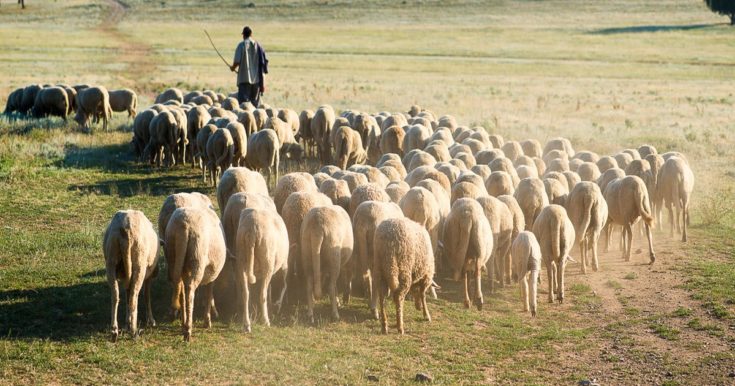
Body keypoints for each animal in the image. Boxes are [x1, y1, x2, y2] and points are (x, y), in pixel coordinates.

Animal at [103, 211, 160, 340]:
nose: (157, 272)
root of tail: (125, 229)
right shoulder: (147, 277)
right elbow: (146, 296)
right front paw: (151, 320)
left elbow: (127, 296)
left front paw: (126, 322)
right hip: (139, 265)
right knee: (134, 297)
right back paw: (134, 331)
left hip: (111, 261)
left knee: (115, 296)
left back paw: (114, 330)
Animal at [165, 207, 227, 340]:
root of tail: (185, 226)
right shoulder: (212, 273)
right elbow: (209, 294)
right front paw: (207, 321)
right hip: (197, 258)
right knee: (190, 290)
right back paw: (188, 329)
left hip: (173, 256)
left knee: (181, 289)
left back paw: (183, 324)